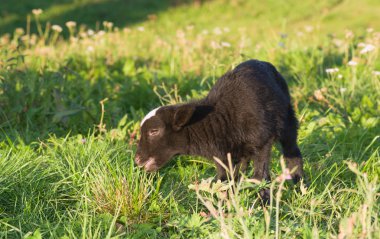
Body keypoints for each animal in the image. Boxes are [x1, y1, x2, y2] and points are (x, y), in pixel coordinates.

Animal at [135, 59, 304, 202]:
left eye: (154, 131)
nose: (137, 159)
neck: (220, 119)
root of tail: (263, 62)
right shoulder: (222, 156)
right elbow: (224, 180)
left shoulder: (262, 142)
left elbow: (260, 177)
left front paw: (264, 205)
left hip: (288, 121)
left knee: (292, 152)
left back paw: (300, 186)